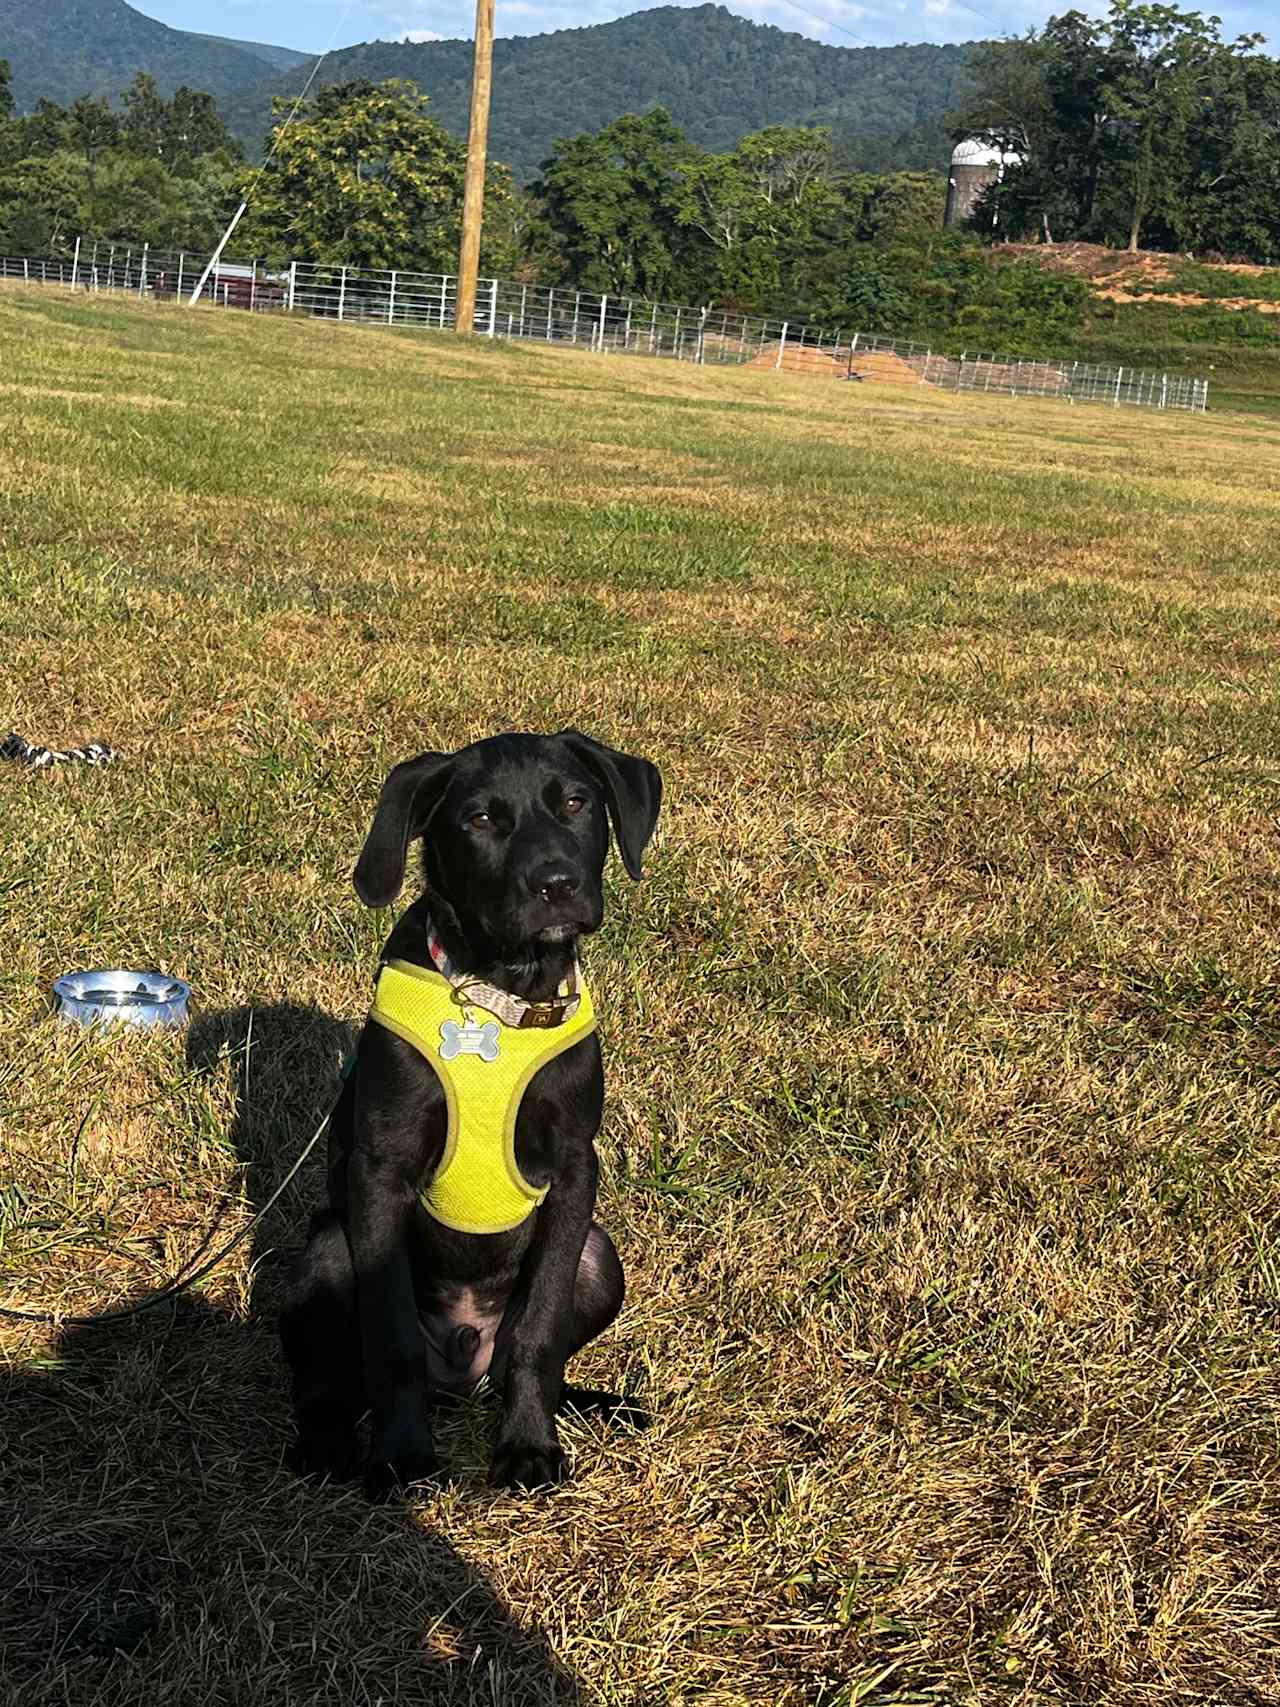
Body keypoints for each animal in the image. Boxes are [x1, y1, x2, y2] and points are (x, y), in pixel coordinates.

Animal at [279, 730, 662, 1495]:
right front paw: (401, 1456)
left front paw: (528, 1445)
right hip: (329, 1252)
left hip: (598, 1257)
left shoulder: (574, 1169)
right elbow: (391, 1336)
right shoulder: (381, 1171)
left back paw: (587, 1405)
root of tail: (459, 1372)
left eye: (577, 803)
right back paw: (329, 1444)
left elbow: (541, 1334)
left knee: (525, 1358)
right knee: (328, 1384)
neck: (500, 994)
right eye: (481, 820)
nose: (556, 884)